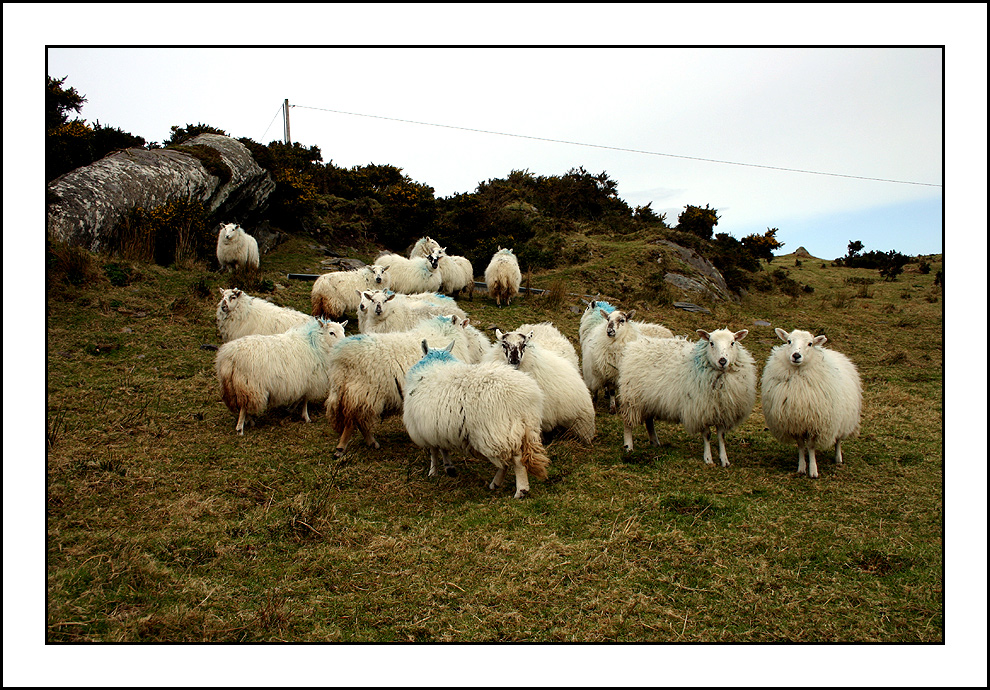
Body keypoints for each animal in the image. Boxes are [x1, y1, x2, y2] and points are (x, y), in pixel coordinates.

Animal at [215, 314, 346, 432]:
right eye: (332, 333)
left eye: (343, 331)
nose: (344, 344)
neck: (315, 343)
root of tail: (229, 356)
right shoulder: (310, 379)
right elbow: (305, 399)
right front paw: (306, 416)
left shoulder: (302, 380)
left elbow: (300, 398)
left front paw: (291, 409)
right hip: (249, 385)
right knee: (243, 407)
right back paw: (240, 428)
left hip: (235, 387)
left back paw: (248, 420)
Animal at [326, 314, 480, 454]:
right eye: (461, 324)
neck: (445, 332)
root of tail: (340, 358)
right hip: (363, 393)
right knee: (353, 421)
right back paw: (343, 447)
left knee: (359, 420)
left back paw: (370, 443)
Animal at [406, 338, 556, 494]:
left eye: (421, 355)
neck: (435, 364)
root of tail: (525, 396)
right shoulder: (438, 427)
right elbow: (443, 448)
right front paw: (449, 468)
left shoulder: (425, 428)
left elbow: (435, 451)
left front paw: (433, 472)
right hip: (522, 428)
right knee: (504, 462)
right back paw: (495, 484)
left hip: (498, 431)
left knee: (516, 460)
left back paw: (521, 490)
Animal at [620, 328, 760, 468]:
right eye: (711, 343)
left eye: (732, 343)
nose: (722, 361)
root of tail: (637, 343)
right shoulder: (700, 411)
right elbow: (707, 435)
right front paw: (708, 459)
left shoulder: (721, 412)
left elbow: (721, 436)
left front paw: (724, 460)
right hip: (632, 398)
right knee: (628, 423)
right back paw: (629, 446)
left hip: (648, 399)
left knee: (649, 421)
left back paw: (655, 441)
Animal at [764, 326, 864, 476]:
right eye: (789, 341)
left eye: (810, 344)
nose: (796, 355)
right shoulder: (795, 423)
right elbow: (801, 446)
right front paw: (801, 467)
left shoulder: (815, 424)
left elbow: (811, 447)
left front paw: (813, 470)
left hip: (843, 419)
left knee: (838, 440)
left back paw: (838, 458)